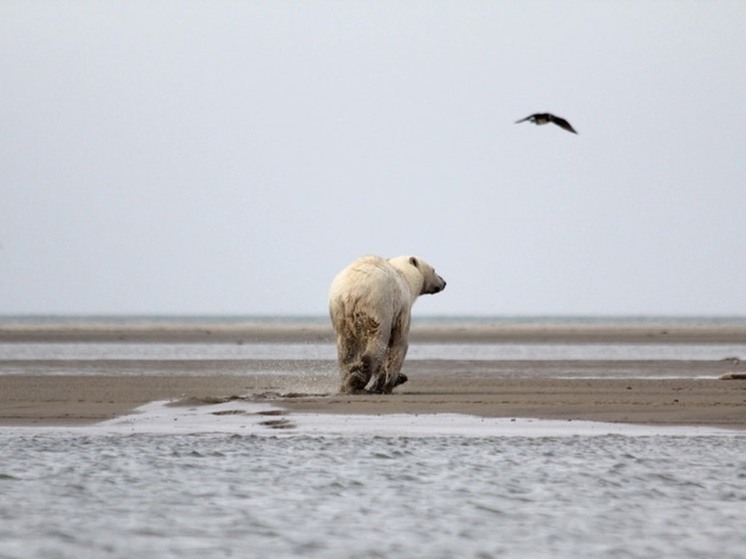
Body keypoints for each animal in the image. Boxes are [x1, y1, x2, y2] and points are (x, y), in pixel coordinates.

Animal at [328, 258, 444, 394]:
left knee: (346, 349)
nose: (443, 282)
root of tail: (351, 293)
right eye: (434, 270)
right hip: (377, 307)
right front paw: (388, 384)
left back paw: (347, 381)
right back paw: (357, 381)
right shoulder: (402, 308)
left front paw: (393, 380)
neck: (405, 277)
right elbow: (399, 342)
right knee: (378, 341)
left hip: (339, 313)